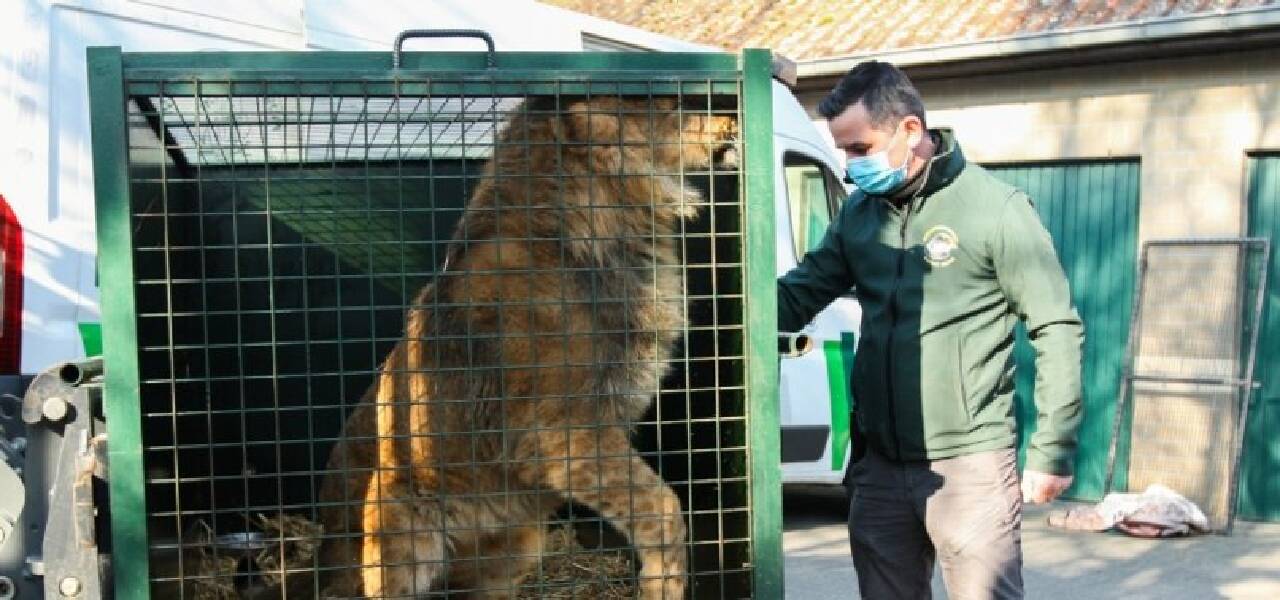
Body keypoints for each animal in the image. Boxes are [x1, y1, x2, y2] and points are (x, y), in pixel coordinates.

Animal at [316, 95, 742, 596]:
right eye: (669, 104)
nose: (732, 120)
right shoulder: (560, 429)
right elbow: (662, 509)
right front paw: (663, 585)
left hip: (513, 550)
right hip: (396, 527)